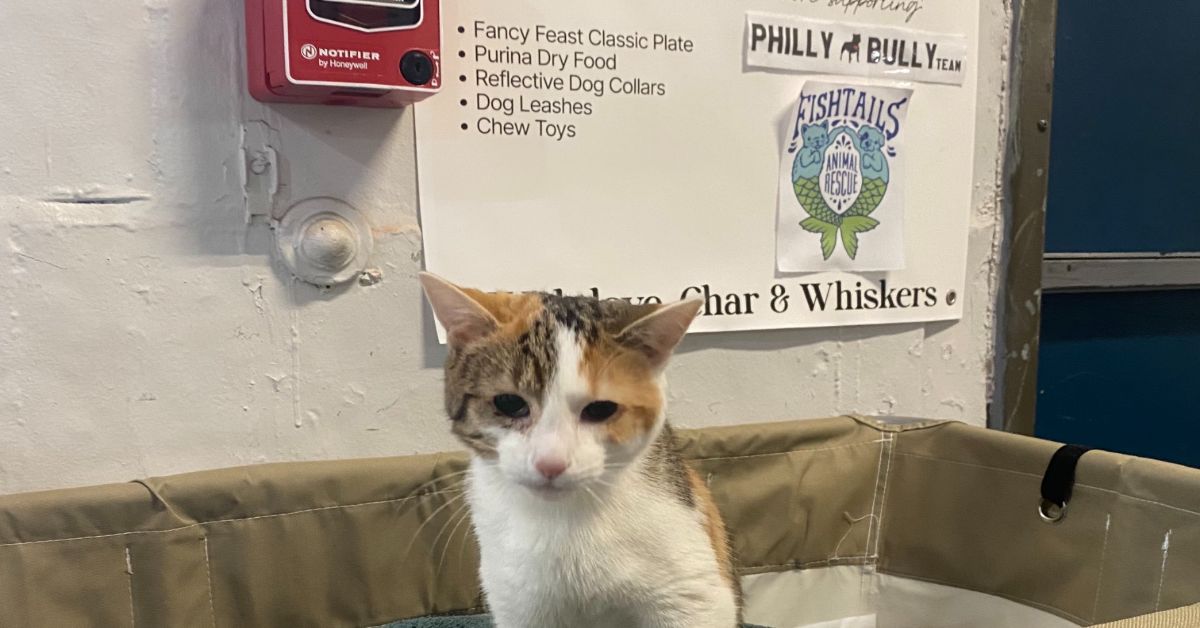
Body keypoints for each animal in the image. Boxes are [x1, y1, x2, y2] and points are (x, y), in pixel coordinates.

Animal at [422, 273, 739, 628]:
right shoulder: (516, 601)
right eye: (509, 403)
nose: (550, 462)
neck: (565, 519)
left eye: (600, 409)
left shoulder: (692, 593)